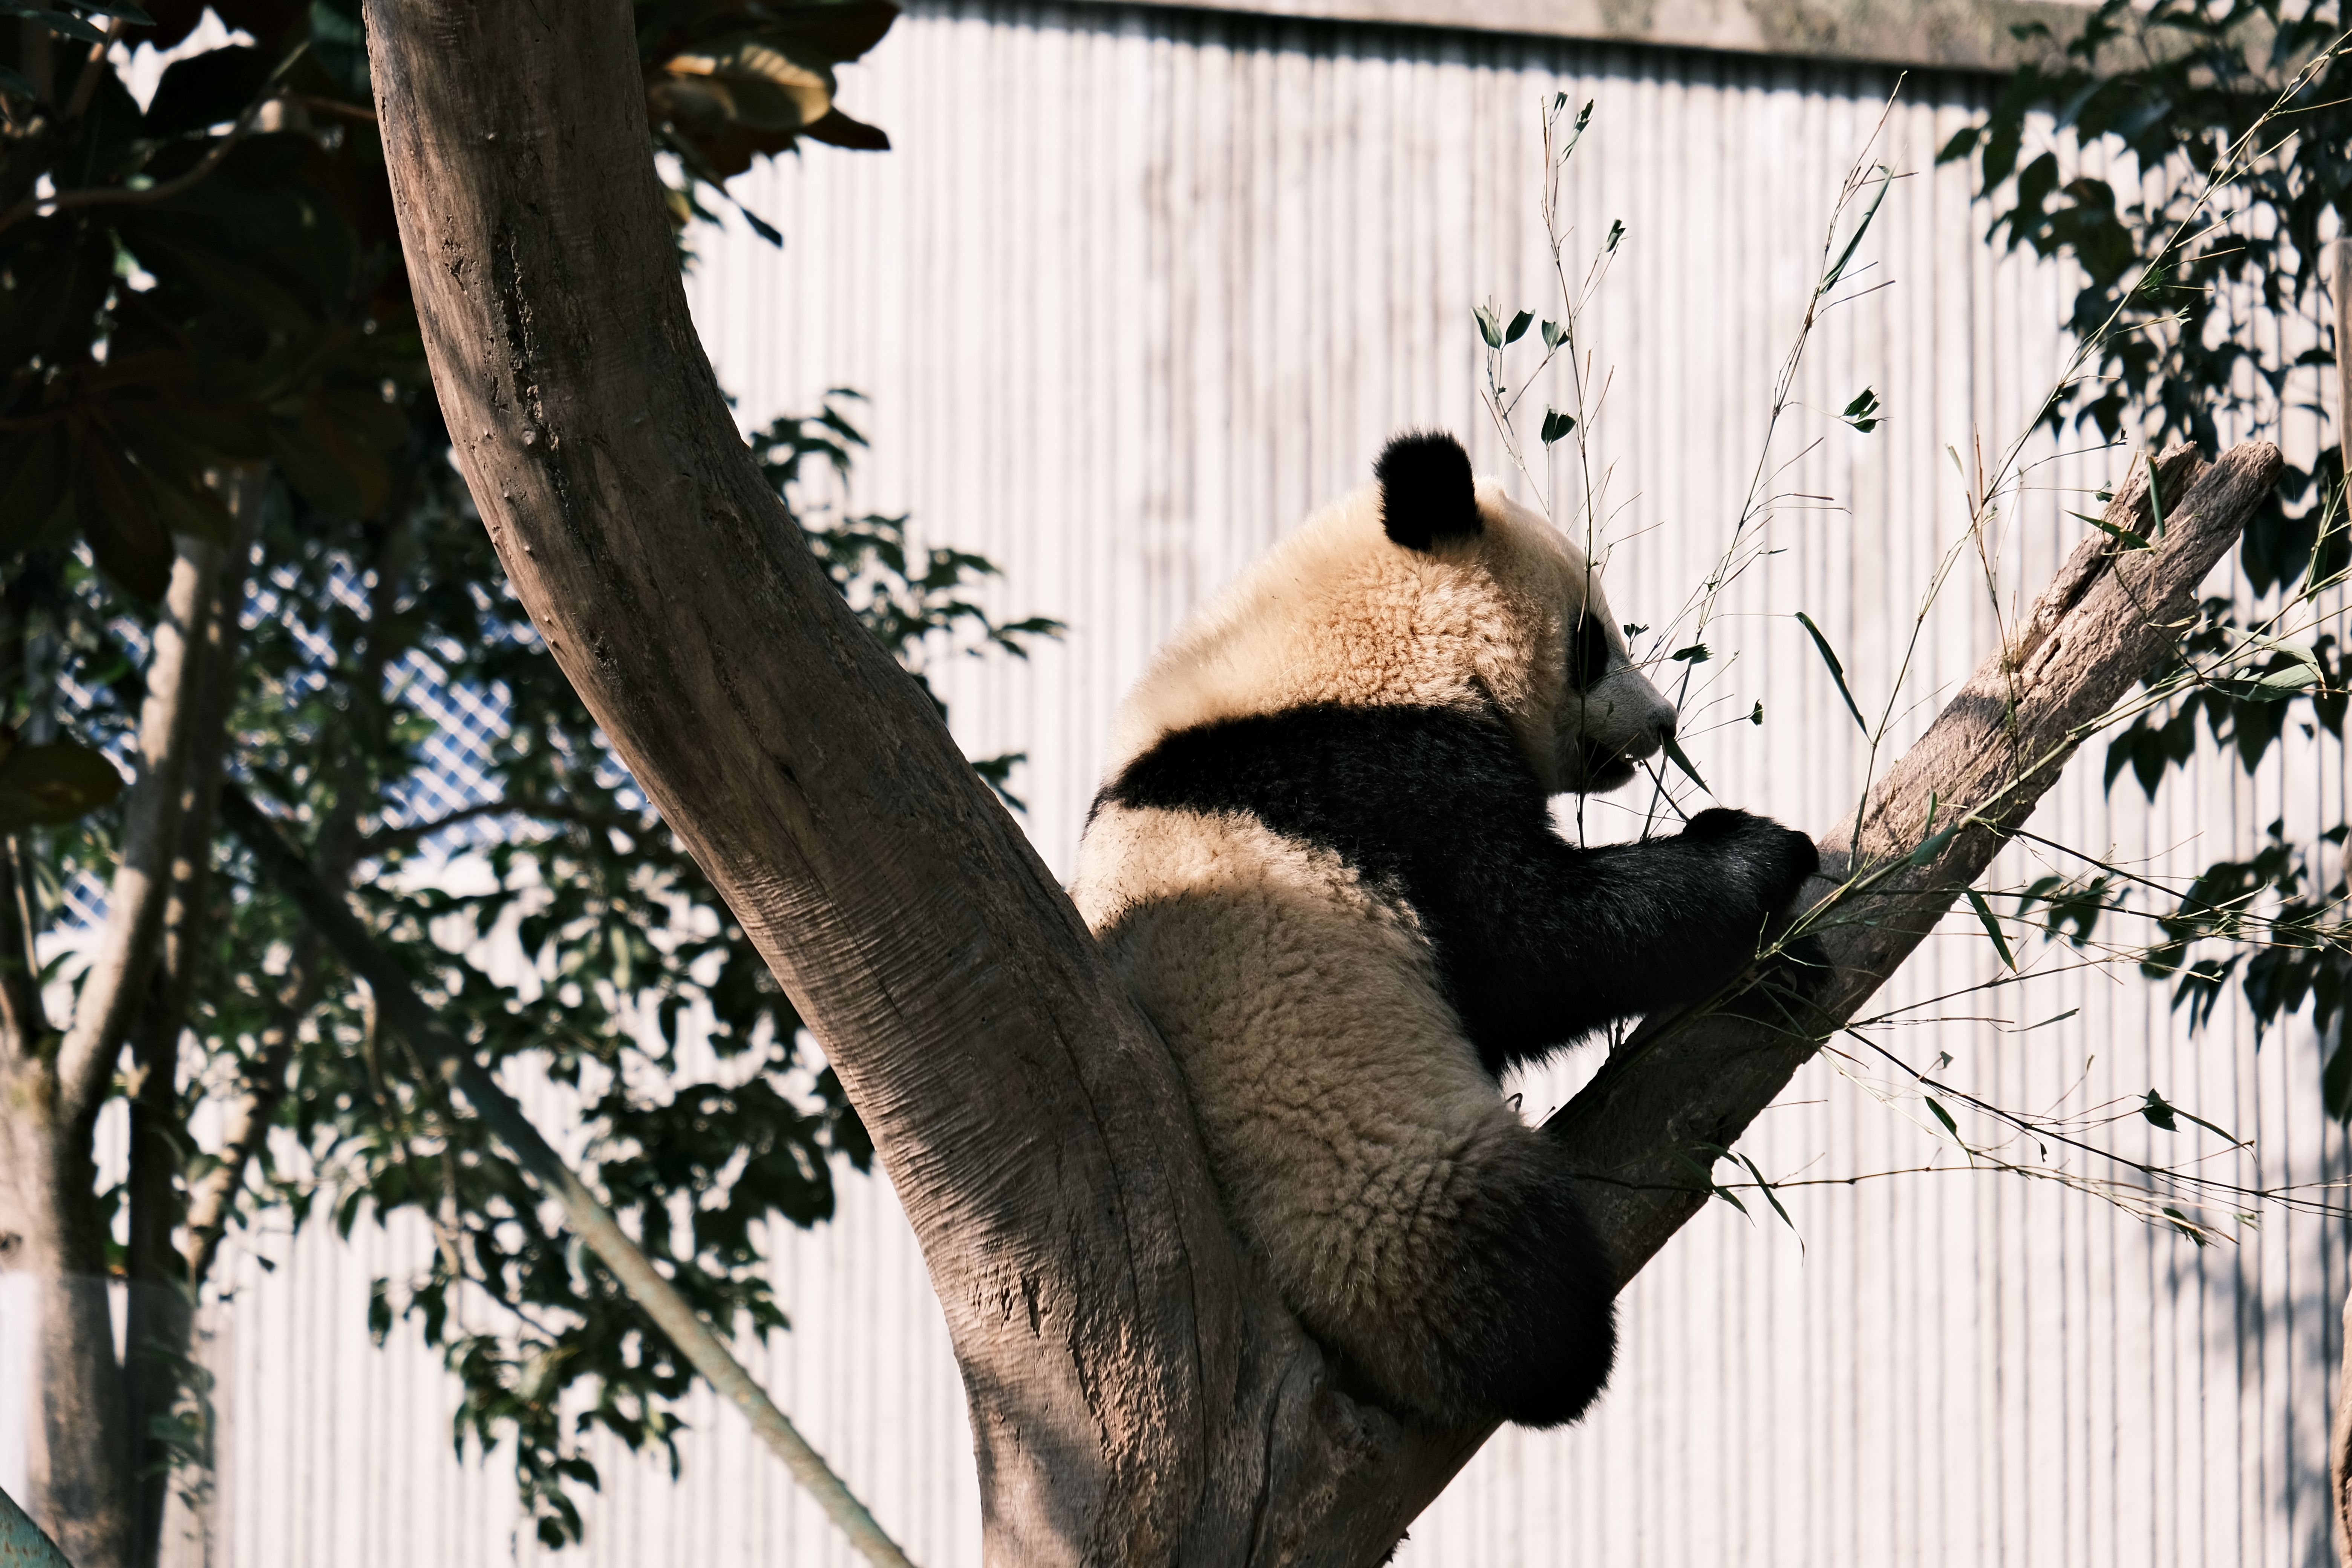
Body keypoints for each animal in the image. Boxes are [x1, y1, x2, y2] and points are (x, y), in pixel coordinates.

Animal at [1071, 430, 1821, 1430]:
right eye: (1592, 642)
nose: (1664, 721)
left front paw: (1781, 959)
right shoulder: (1380, 782)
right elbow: (1535, 942)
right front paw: (1755, 850)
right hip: (1370, 1172)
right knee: (1493, 1258)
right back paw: (1552, 1356)